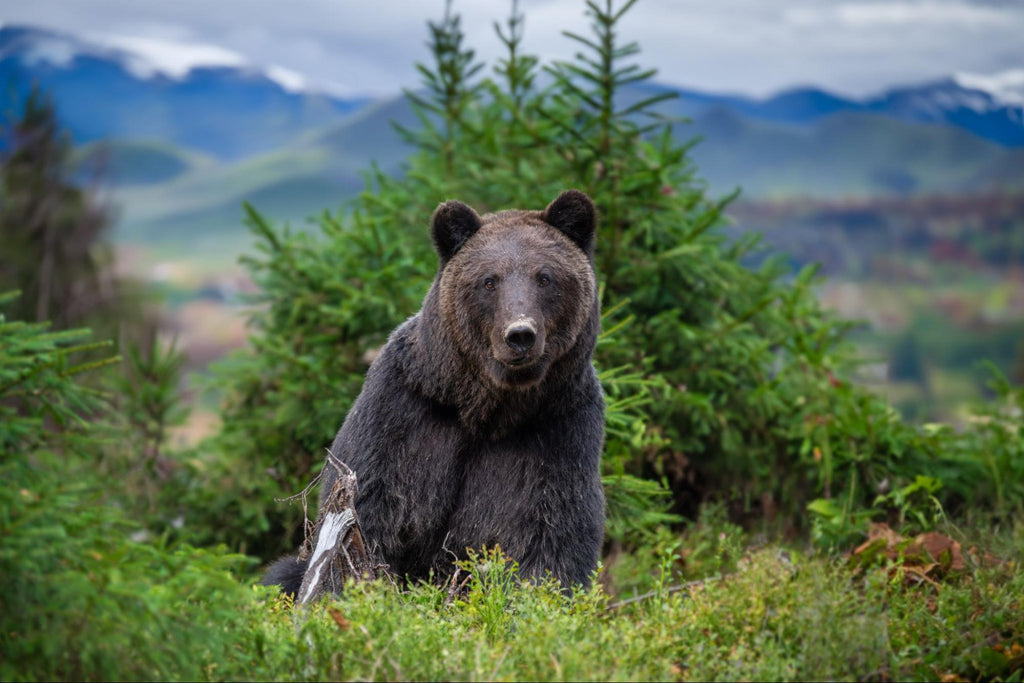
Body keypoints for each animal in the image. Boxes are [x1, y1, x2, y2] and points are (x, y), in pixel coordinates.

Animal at [260, 187, 606, 593]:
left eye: (545, 277)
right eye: (489, 280)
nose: (520, 334)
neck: (485, 409)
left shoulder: (558, 433)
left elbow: (552, 539)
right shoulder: (402, 413)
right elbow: (369, 515)